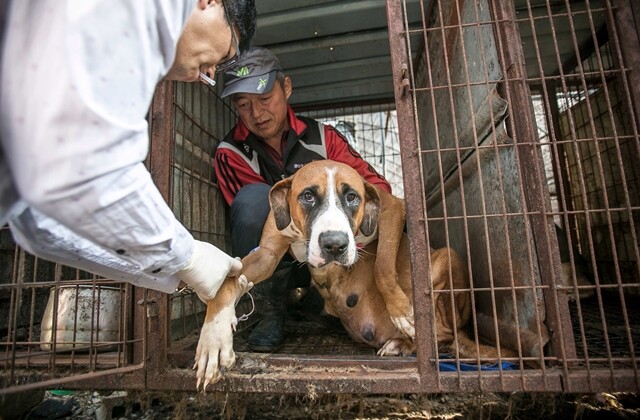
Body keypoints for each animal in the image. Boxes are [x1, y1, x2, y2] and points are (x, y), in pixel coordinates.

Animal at [194, 159, 500, 388]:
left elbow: (382, 264)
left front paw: (401, 310)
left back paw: (404, 343)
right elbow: (229, 282)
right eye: (307, 196)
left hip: (449, 257)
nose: (334, 244)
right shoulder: (267, 252)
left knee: (445, 336)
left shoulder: (392, 207)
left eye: (352, 197)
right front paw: (214, 338)